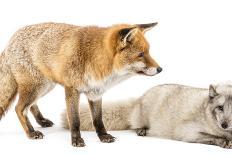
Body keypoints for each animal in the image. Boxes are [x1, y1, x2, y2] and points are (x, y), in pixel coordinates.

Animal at [0, 21, 162, 147]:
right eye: (141, 54)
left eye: (148, 52)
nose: (160, 69)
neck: (96, 59)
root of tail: (10, 40)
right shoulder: (72, 90)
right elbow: (75, 120)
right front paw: (76, 140)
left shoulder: (96, 93)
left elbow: (98, 119)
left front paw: (103, 136)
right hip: (36, 87)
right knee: (19, 108)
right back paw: (31, 132)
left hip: (44, 86)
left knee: (31, 105)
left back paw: (41, 121)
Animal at [61, 83, 232, 148]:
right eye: (220, 107)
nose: (224, 125)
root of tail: (139, 98)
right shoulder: (187, 132)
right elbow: (211, 136)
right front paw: (225, 142)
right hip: (142, 116)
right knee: (135, 125)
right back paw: (141, 130)